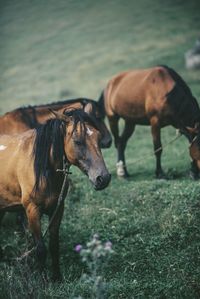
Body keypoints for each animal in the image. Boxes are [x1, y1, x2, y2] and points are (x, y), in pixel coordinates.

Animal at [0, 106, 111, 282]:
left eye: (98, 137)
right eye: (77, 141)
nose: (103, 178)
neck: (42, 169)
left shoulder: (57, 209)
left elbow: (53, 246)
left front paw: (56, 277)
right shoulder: (32, 211)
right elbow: (40, 249)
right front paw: (42, 280)